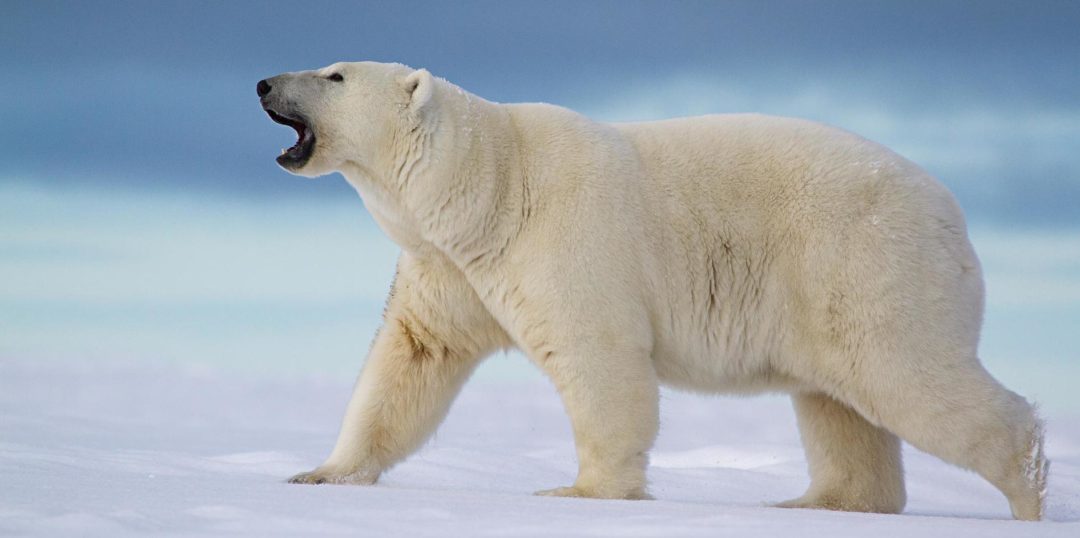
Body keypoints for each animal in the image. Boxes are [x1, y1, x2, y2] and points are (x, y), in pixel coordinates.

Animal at [257, 61, 1048, 520]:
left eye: (334, 75)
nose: (264, 83)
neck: (490, 189)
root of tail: (954, 215)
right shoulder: (451, 268)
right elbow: (412, 360)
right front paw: (321, 474)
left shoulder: (564, 237)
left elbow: (598, 354)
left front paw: (581, 492)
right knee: (838, 405)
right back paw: (816, 501)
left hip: (866, 263)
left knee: (904, 375)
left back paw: (1028, 487)